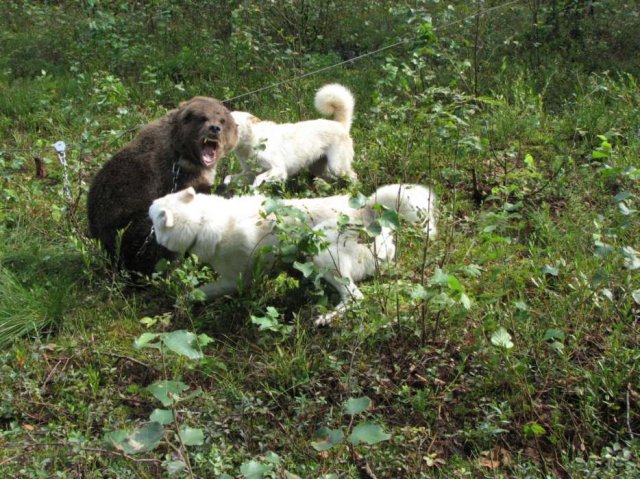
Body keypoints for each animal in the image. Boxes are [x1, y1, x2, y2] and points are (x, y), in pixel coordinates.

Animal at [148, 184, 438, 326]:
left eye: (151, 214)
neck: (202, 219)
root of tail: (367, 210)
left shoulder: (235, 280)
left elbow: (196, 292)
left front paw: (180, 305)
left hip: (322, 254)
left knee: (355, 298)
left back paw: (325, 318)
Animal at [225, 82, 358, 188]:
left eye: (236, 125)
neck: (253, 142)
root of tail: (340, 124)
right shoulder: (248, 174)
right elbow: (228, 178)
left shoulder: (279, 169)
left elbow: (259, 179)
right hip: (319, 169)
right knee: (332, 180)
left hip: (338, 167)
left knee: (354, 176)